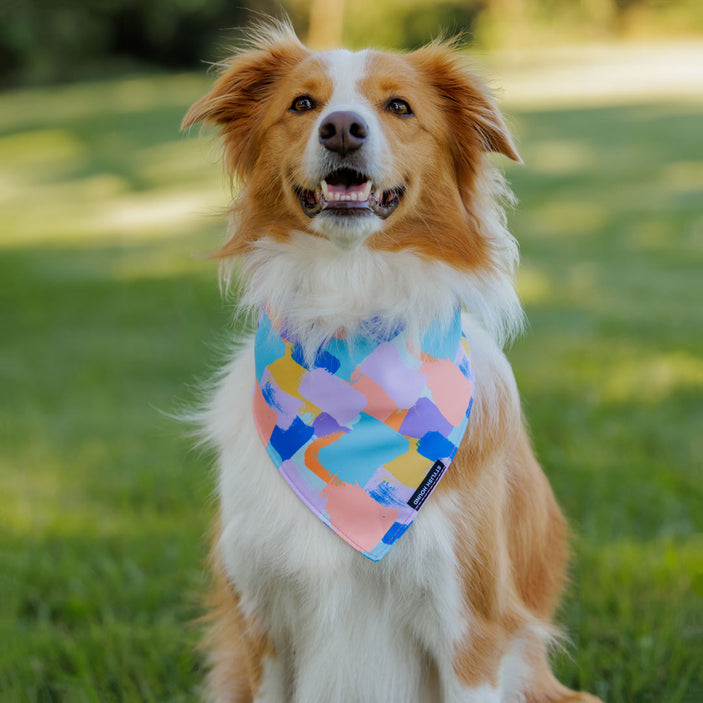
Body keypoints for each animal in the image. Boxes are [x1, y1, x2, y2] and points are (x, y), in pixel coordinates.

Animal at [183, 19, 604, 703]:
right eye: (303, 104)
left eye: (399, 107)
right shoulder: (259, 627)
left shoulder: (469, 629)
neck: (349, 313)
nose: (341, 128)